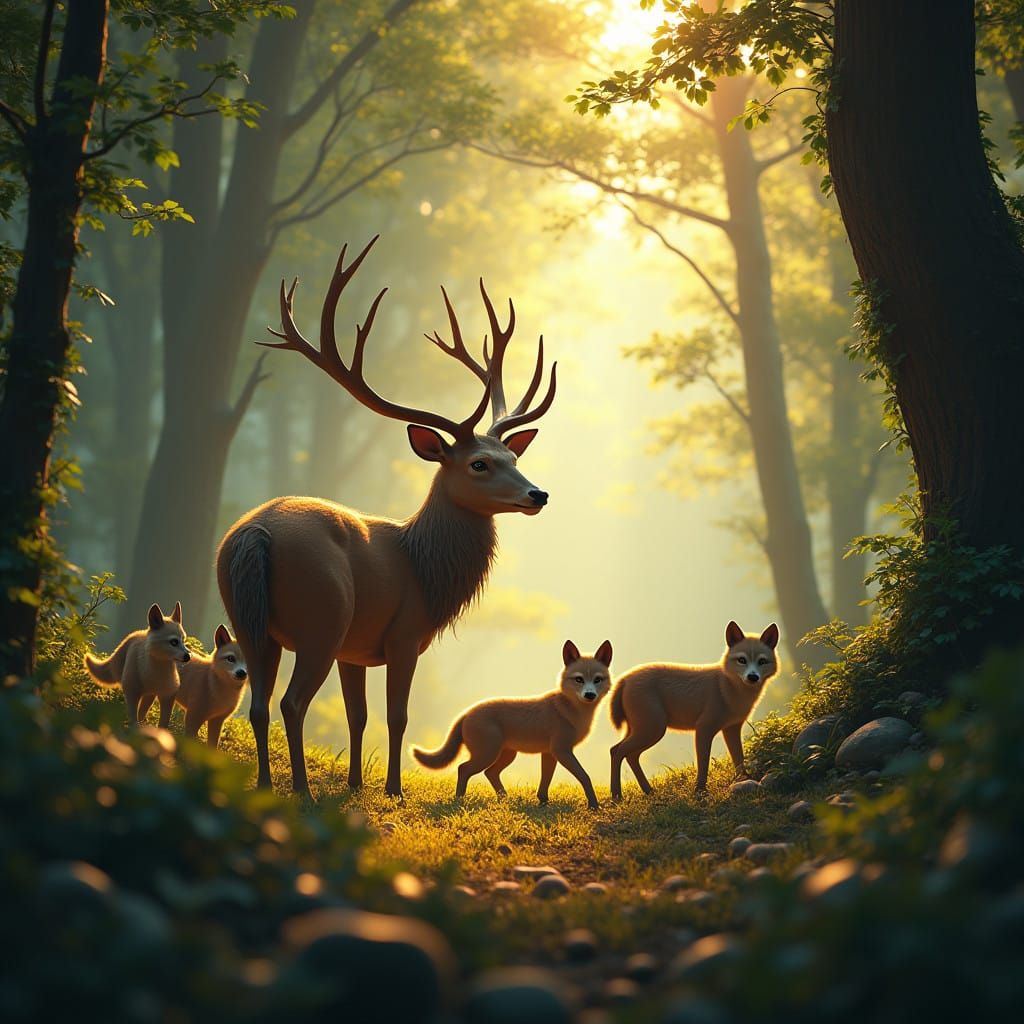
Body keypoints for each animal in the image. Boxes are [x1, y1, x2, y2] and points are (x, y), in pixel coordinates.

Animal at [216, 236, 557, 799]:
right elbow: (397, 715)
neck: (424, 567)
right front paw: (393, 787)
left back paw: (265, 785)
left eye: (513, 456)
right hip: (322, 614)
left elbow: (358, 715)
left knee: (259, 704)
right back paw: (302, 790)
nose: (538, 494)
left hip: (247, 616)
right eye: (479, 464)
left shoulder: (355, 649)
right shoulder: (403, 633)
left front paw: (356, 783)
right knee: (290, 702)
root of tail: (256, 533)